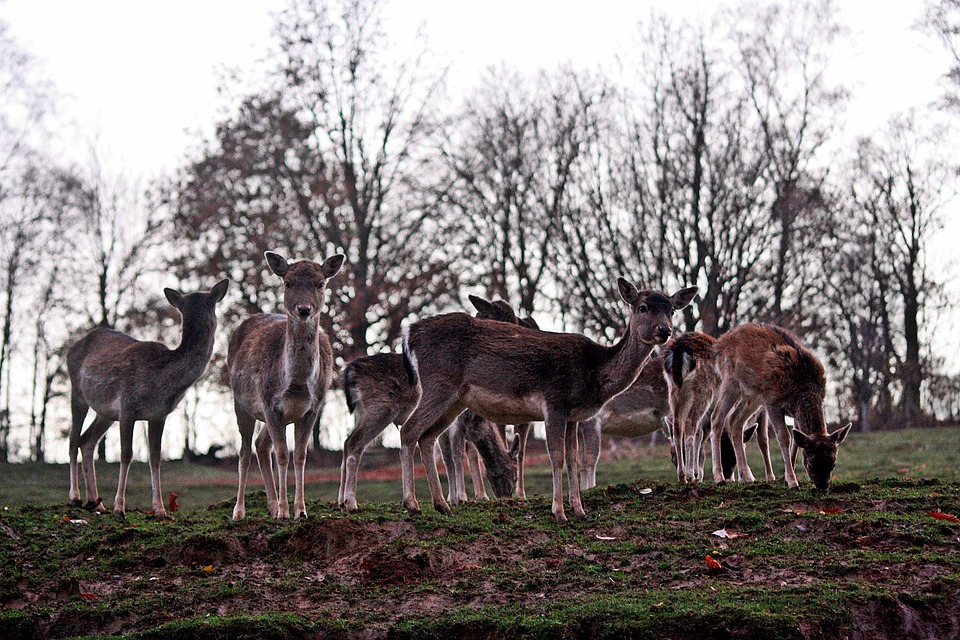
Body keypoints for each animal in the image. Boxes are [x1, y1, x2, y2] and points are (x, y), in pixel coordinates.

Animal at [68, 278, 231, 516]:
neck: (161, 380)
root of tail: (72, 347)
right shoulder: (127, 405)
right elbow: (126, 454)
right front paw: (120, 507)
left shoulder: (159, 414)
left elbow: (155, 458)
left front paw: (160, 509)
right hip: (77, 393)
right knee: (72, 440)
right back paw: (75, 497)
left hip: (106, 412)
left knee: (86, 441)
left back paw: (96, 502)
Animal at [230, 250, 344, 520]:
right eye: (288, 283)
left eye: (320, 283)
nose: (303, 309)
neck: (297, 385)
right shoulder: (270, 404)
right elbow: (282, 455)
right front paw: (284, 512)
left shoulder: (313, 407)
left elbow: (300, 456)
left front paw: (300, 511)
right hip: (240, 402)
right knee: (244, 451)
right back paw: (240, 511)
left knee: (261, 445)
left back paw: (271, 506)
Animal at [334, 296, 520, 516]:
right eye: (514, 474)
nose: (506, 496)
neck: (477, 423)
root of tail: (349, 372)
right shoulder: (457, 421)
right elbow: (456, 455)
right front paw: (461, 497)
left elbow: (457, 455)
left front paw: (464, 497)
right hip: (380, 408)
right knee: (355, 443)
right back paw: (352, 502)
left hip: (362, 412)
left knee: (346, 443)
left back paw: (340, 501)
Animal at [400, 280, 696, 524]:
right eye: (643, 307)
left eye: (672, 309)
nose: (665, 330)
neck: (593, 372)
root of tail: (410, 333)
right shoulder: (554, 402)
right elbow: (556, 456)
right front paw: (559, 513)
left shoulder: (574, 415)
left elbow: (573, 458)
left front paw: (580, 511)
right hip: (439, 383)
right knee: (409, 429)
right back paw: (412, 504)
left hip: (455, 400)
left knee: (427, 437)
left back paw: (442, 505)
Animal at [708, 324, 852, 490]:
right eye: (810, 464)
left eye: (833, 464)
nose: (822, 486)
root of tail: (719, 345)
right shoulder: (773, 403)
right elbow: (784, 437)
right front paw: (792, 481)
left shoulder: (794, 411)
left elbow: (796, 440)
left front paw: (787, 477)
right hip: (730, 381)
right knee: (717, 418)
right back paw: (719, 477)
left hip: (753, 396)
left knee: (735, 421)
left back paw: (748, 476)